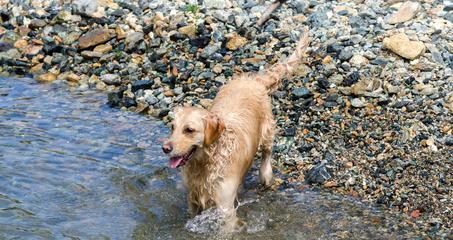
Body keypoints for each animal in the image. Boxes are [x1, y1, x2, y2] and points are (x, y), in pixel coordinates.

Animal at [161, 30, 308, 231]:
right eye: (173, 127)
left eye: (189, 130)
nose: (165, 148)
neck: (206, 163)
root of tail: (252, 79)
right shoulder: (193, 200)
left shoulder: (225, 208)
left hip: (267, 129)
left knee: (267, 152)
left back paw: (265, 174)